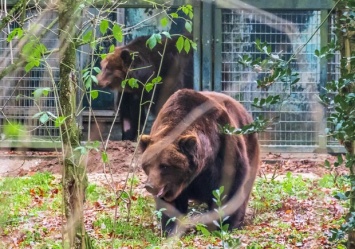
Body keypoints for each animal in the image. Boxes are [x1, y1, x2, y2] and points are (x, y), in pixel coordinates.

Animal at [140, 89, 260, 235]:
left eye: (164, 166)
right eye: (147, 165)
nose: (150, 186)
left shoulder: (224, 150)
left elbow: (230, 189)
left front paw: (226, 225)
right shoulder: (172, 185)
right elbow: (170, 206)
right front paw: (169, 228)